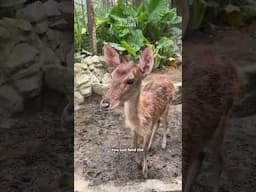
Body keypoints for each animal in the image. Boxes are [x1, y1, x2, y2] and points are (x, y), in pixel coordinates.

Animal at [101, 45, 175, 178]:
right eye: (111, 76)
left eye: (130, 80)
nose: (104, 104)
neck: (140, 120)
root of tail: (168, 78)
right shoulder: (133, 130)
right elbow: (134, 147)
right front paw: (138, 165)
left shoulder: (148, 128)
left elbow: (143, 150)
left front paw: (145, 173)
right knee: (158, 124)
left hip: (168, 107)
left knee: (166, 123)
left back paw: (163, 145)